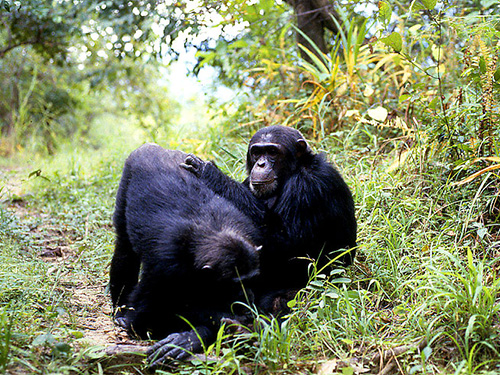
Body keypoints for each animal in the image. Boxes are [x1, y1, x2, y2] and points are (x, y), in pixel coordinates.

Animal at [108, 142, 260, 366]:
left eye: (251, 280)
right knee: (125, 249)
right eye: (234, 285)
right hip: (127, 177)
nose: (247, 297)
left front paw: (192, 337)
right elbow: (145, 319)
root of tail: (153, 146)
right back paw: (120, 308)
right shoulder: (165, 266)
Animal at [183, 125, 356, 316]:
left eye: (272, 152)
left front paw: (210, 172)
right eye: (257, 153)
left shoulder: (307, 184)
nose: (261, 164)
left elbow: (287, 242)